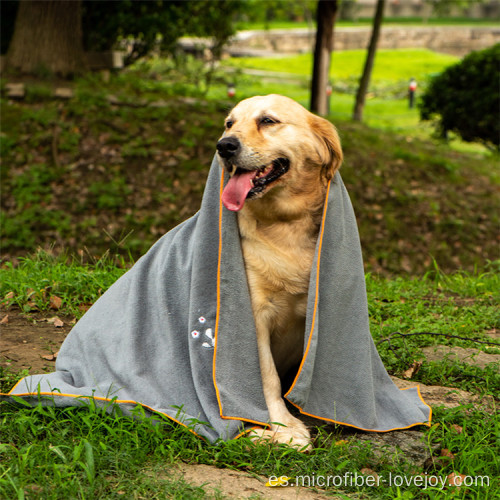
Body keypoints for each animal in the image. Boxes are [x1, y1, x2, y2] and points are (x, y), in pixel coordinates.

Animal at [217, 94, 342, 450]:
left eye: (268, 121)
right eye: (229, 123)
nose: (224, 146)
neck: (285, 227)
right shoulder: (255, 314)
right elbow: (267, 377)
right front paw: (284, 426)